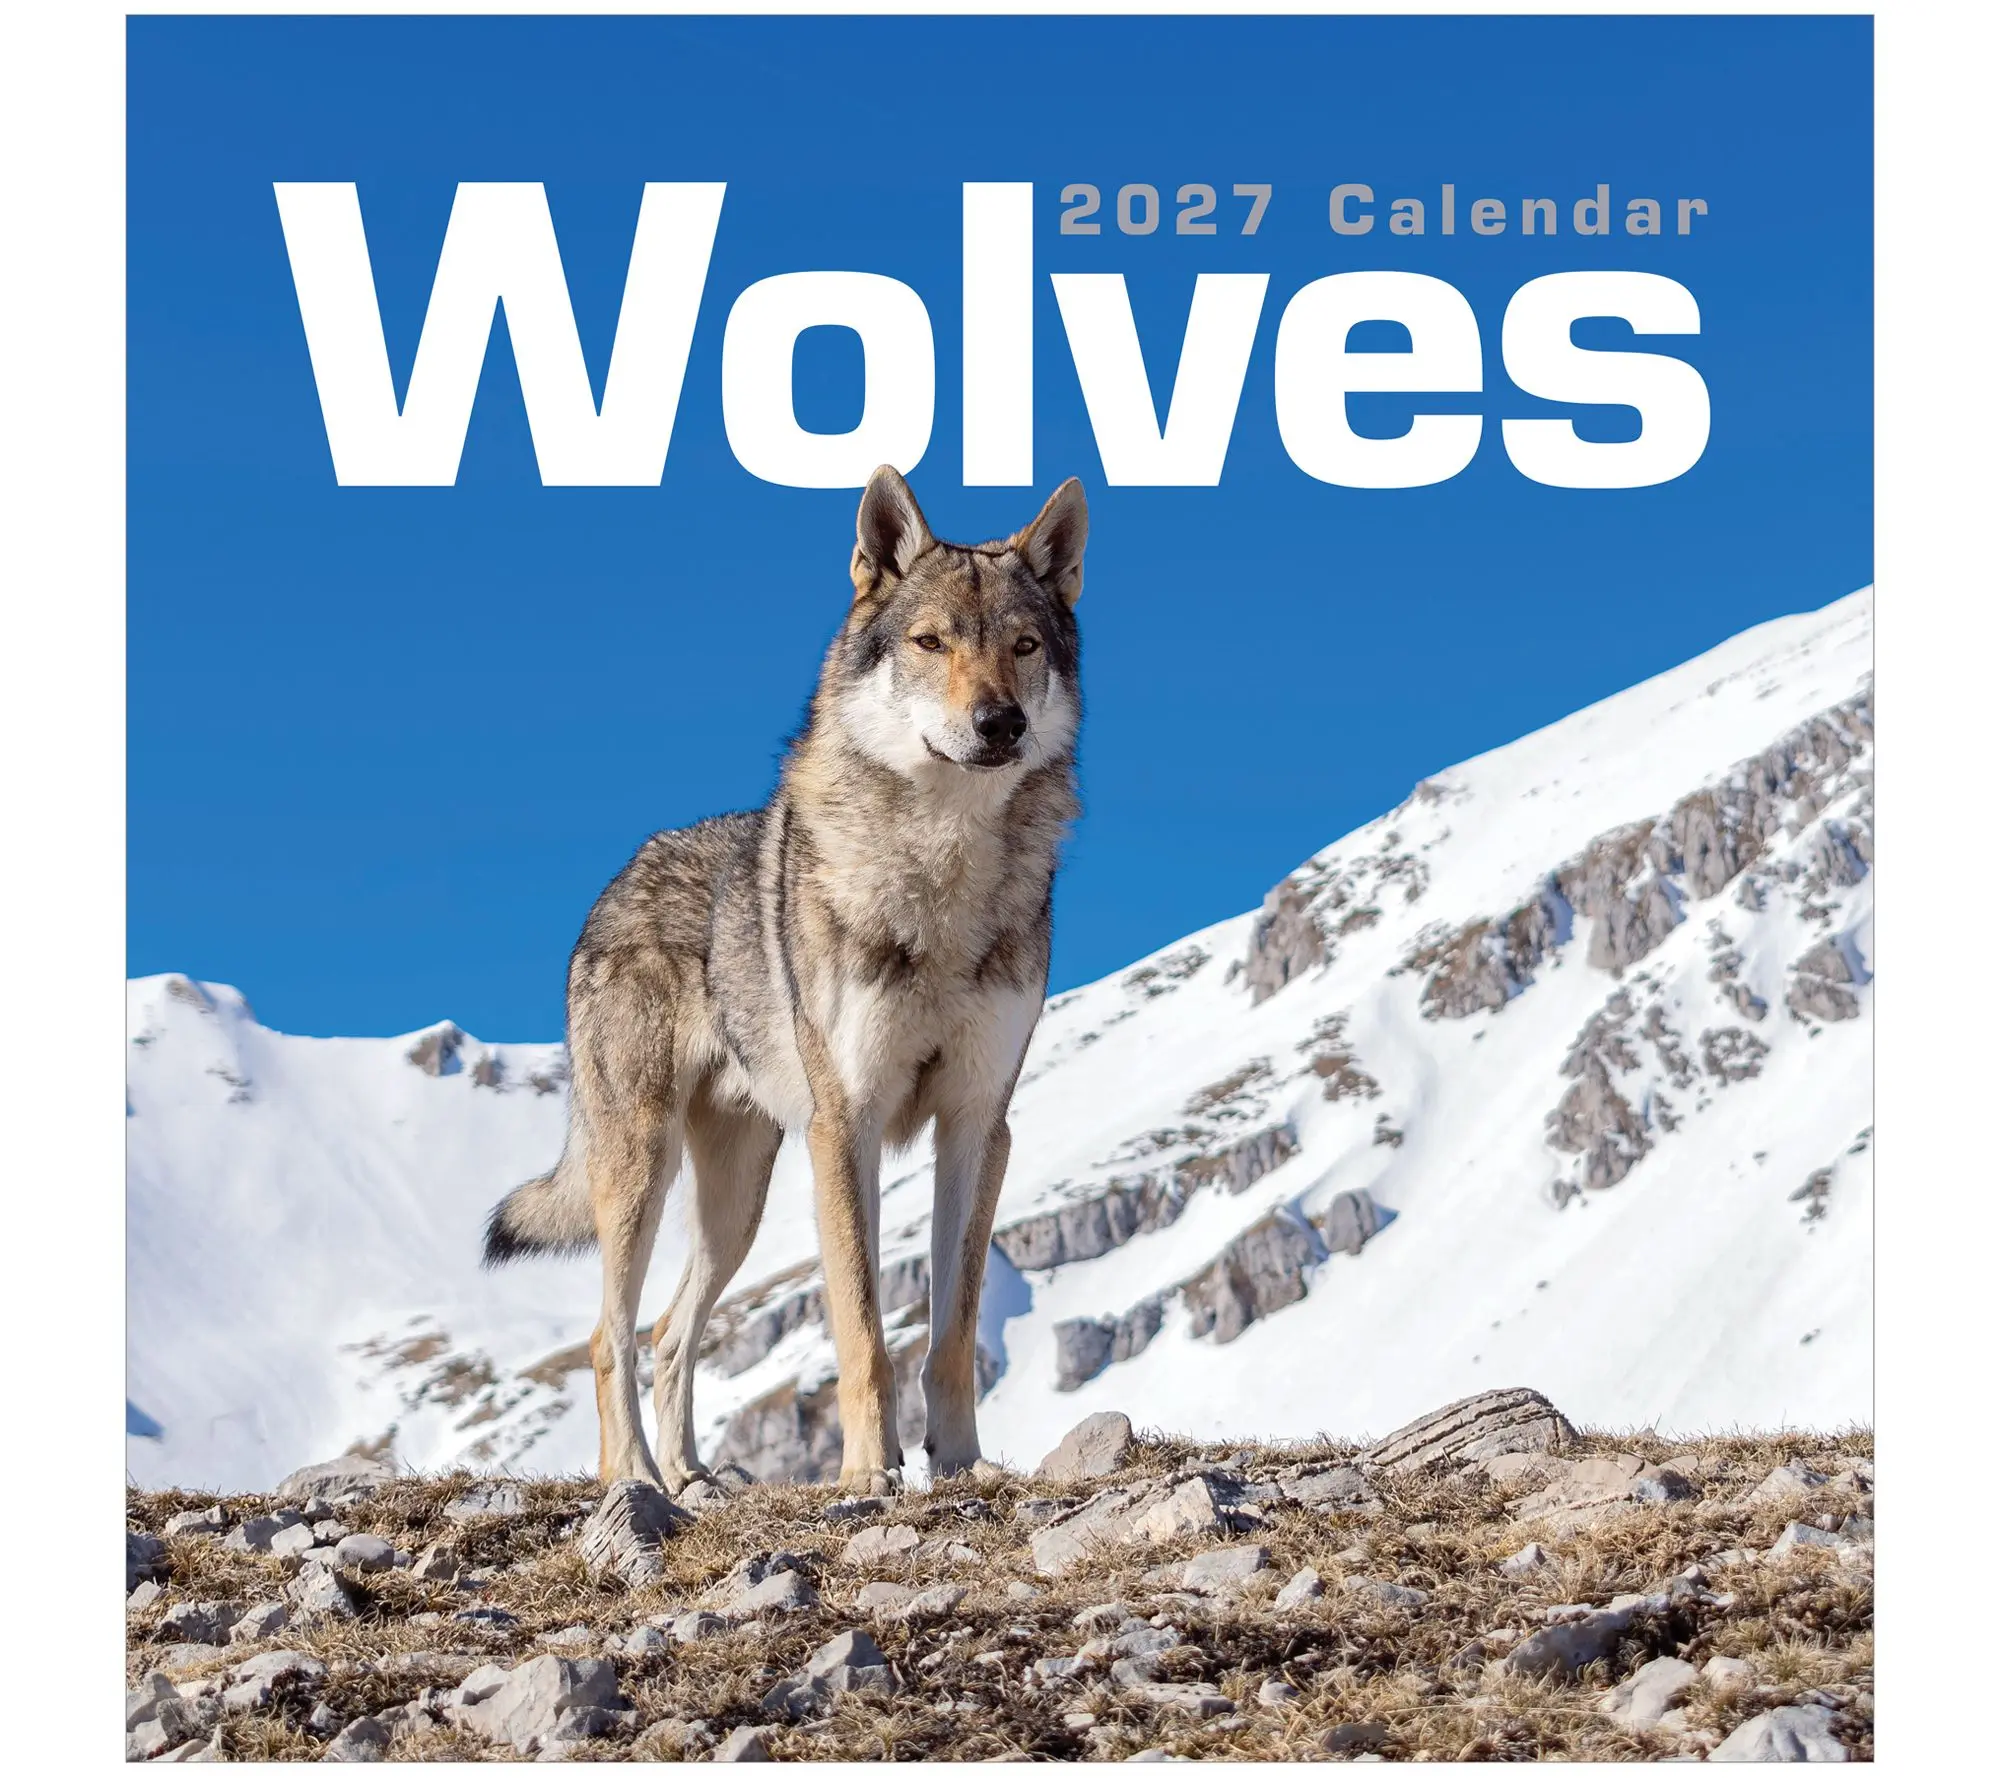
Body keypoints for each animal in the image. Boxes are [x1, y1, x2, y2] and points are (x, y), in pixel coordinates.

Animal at [482, 466, 1086, 1492]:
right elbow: (863, 1330)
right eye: (931, 643)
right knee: (609, 1338)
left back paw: (693, 1480)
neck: (943, 877)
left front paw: (961, 1466)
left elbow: (951, 1330)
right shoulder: (847, 1124)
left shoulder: (976, 1122)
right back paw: (635, 1481)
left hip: (738, 1204)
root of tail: (619, 877)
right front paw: (866, 1475)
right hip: (643, 1171)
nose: (998, 722)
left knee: (667, 1333)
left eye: (1024, 646)